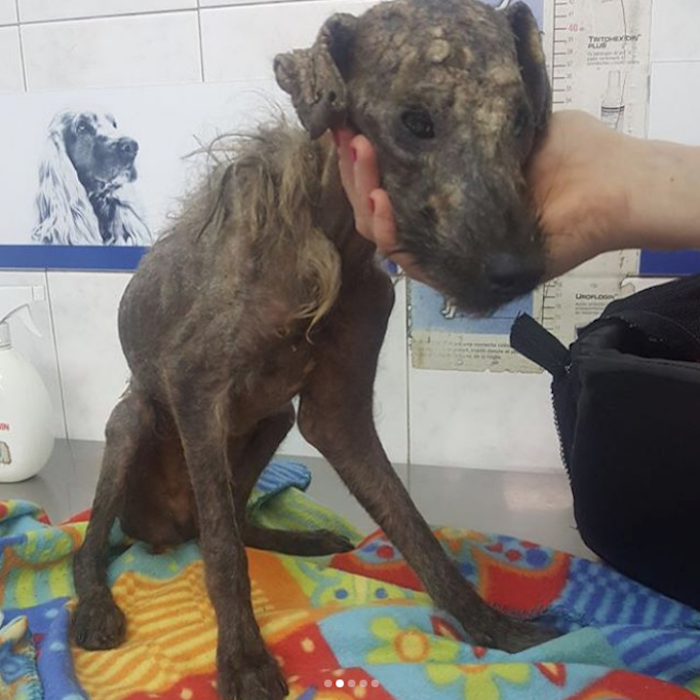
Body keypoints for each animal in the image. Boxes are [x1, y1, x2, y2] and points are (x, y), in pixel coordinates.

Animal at [72, 1, 555, 698]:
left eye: (520, 120)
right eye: (415, 121)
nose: (517, 272)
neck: (330, 238)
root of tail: (164, 526)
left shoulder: (336, 416)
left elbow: (413, 527)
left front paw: (489, 625)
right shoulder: (192, 384)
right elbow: (223, 558)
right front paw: (243, 659)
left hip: (271, 422)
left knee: (225, 518)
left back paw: (295, 537)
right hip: (135, 420)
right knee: (107, 543)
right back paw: (95, 605)